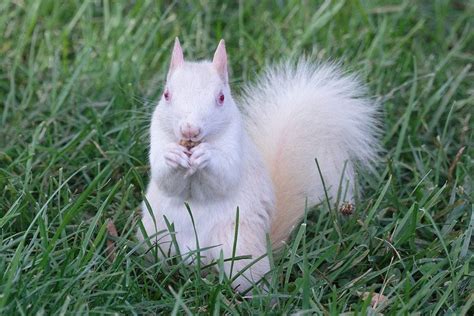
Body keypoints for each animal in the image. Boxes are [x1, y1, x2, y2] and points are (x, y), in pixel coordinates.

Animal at [136, 38, 378, 292]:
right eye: (166, 94)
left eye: (221, 98)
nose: (189, 130)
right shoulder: (158, 136)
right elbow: (166, 179)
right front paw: (171, 156)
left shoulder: (236, 145)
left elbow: (223, 177)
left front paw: (208, 155)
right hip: (157, 234)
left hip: (239, 245)